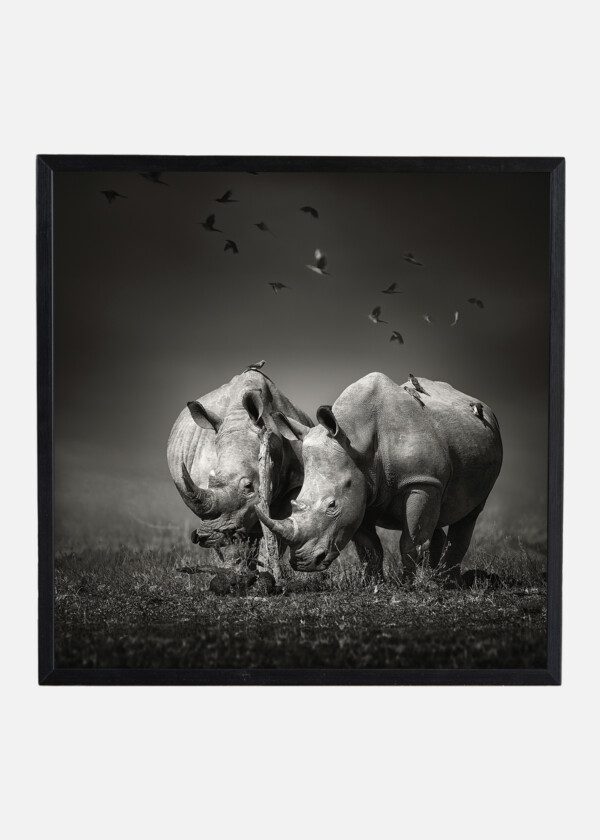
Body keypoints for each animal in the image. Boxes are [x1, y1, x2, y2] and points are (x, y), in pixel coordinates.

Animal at [167, 370, 312, 566]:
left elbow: (277, 527)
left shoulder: (295, 482)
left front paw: (266, 567)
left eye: (249, 487)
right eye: (211, 480)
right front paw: (232, 569)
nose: (204, 536)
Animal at [257, 372, 502, 580]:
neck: (355, 439)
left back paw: (447, 581)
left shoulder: (421, 481)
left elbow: (411, 541)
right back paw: (438, 576)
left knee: (469, 514)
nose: (303, 562)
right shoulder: (360, 489)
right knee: (438, 516)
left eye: (332, 505)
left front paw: (411, 585)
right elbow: (369, 547)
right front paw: (374, 583)